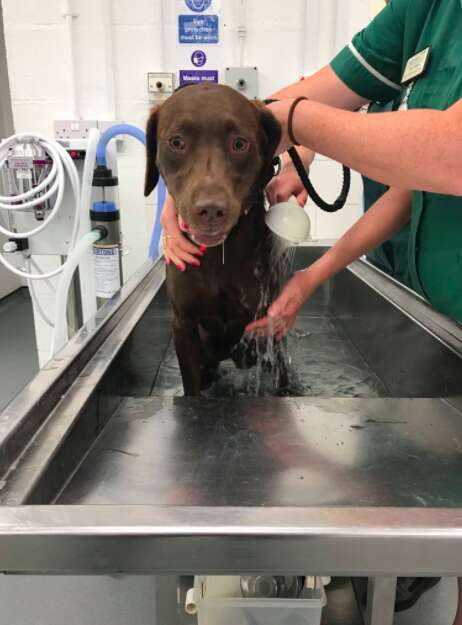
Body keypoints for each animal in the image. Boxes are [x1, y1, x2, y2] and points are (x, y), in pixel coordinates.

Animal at [144, 83, 288, 394]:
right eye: (176, 142)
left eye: (239, 144)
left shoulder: (267, 323)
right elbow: (192, 387)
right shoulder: (184, 325)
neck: (217, 255)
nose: (210, 210)